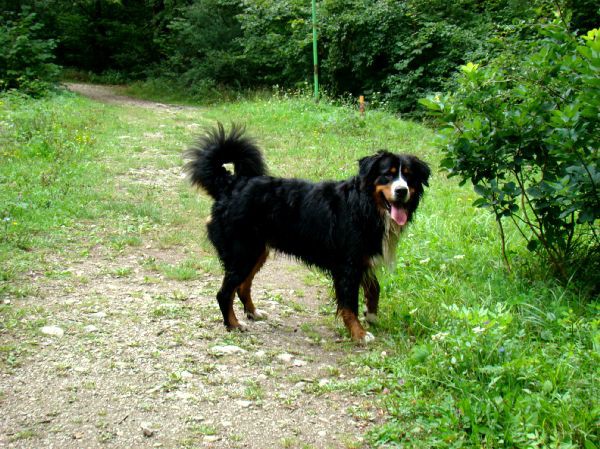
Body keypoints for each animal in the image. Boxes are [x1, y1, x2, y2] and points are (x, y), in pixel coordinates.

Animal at [184, 122, 432, 344]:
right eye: (387, 176)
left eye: (408, 177)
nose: (401, 191)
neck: (365, 206)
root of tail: (230, 184)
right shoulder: (348, 264)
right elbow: (349, 303)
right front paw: (359, 334)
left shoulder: (364, 259)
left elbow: (374, 288)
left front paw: (371, 316)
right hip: (243, 252)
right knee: (225, 292)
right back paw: (233, 324)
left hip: (256, 252)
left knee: (243, 287)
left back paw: (253, 313)